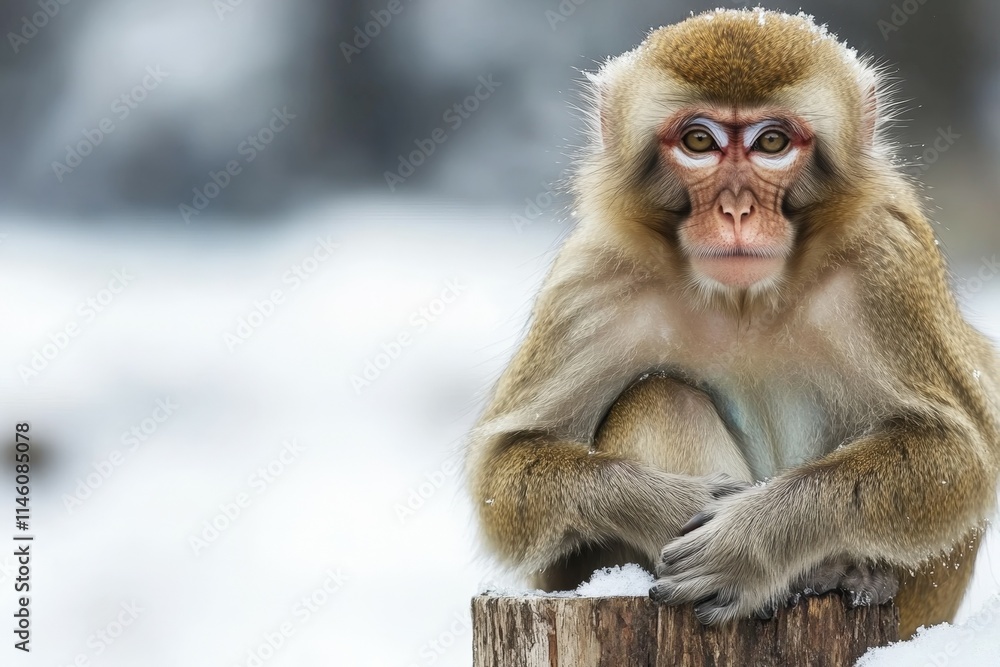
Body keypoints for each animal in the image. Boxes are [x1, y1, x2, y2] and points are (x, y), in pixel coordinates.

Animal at [466, 8, 1000, 639]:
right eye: (700, 141)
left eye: (772, 142)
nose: (737, 209)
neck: (744, 302)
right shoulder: (591, 284)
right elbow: (505, 470)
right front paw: (668, 508)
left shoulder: (889, 260)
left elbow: (959, 456)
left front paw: (752, 540)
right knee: (660, 396)